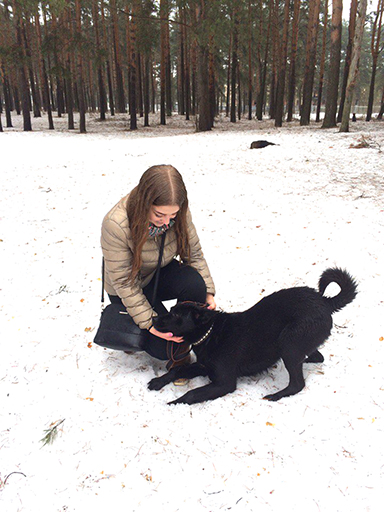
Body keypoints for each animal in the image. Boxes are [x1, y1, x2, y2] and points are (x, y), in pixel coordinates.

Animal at [148, 268, 356, 404]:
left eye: (176, 315)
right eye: (171, 310)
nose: (153, 318)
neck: (211, 333)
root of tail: (324, 302)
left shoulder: (224, 382)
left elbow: (192, 394)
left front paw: (174, 403)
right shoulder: (203, 366)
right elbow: (177, 370)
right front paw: (158, 382)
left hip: (289, 342)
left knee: (298, 383)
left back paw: (275, 395)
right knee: (317, 356)